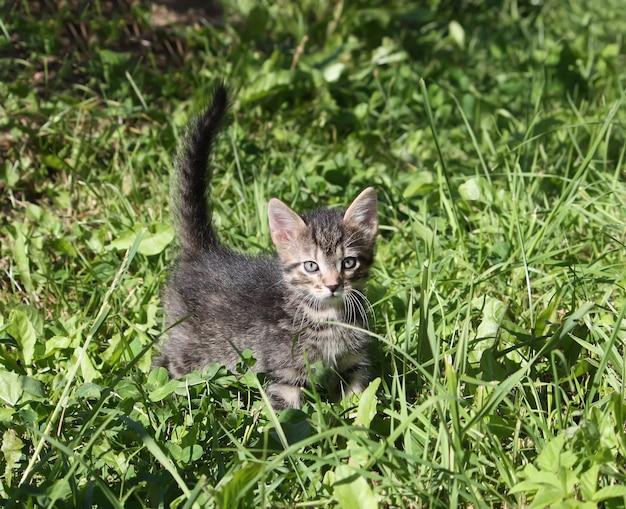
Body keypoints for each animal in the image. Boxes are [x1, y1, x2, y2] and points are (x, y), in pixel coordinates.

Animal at [158, 83, 378, 408]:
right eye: (311, 266)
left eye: (348, 263)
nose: (333, 285)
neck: (327, 316)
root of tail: (204, 250)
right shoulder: (287, 374)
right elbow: (288, 414)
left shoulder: (354, 362)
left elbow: (359, 399)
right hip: (188, 345)